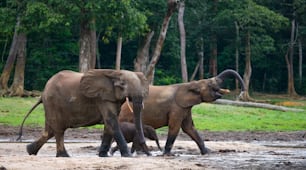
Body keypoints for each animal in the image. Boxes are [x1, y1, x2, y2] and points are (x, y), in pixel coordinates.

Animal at [17, 68, 149, 157]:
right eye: (122, 85)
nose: (149, 154)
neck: (114, 73)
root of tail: (42, 93)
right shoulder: (101, 98)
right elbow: (111, 121)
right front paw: (128, 156)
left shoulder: (110, 98)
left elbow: (109, 124)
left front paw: (103, 156)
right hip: (53, 103)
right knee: (58, 130)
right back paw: (64, 156)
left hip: (51, 105)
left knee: (49, 131)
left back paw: (30, 150)